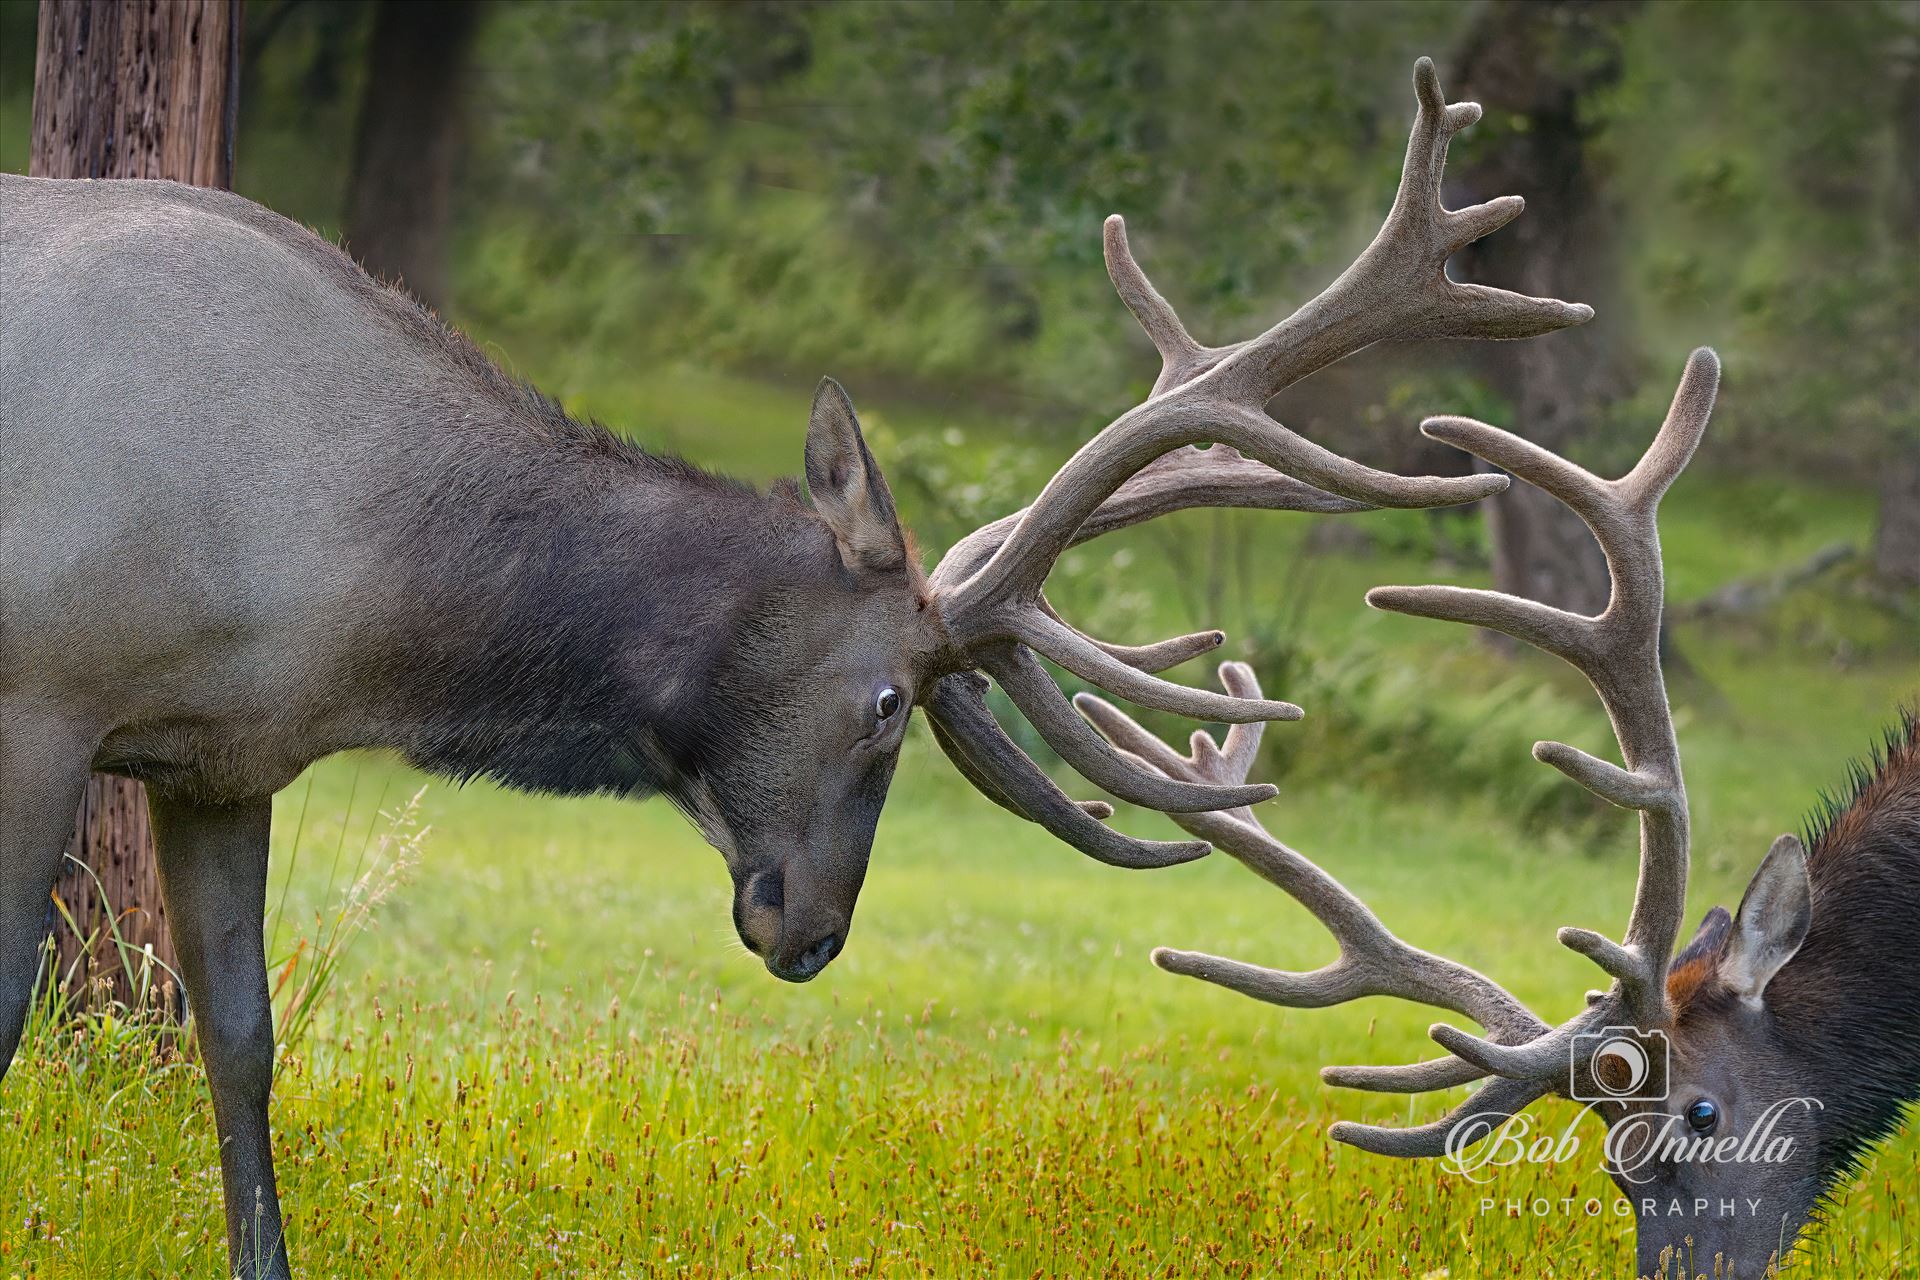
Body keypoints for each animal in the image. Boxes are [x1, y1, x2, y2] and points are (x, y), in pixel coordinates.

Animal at [3, 57, 1589, 1274]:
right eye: (889, 700)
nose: (816, 929)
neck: (345, 574)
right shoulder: (41, 697)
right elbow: (17, 1000)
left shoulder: (220, 754)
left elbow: (242, 1038)